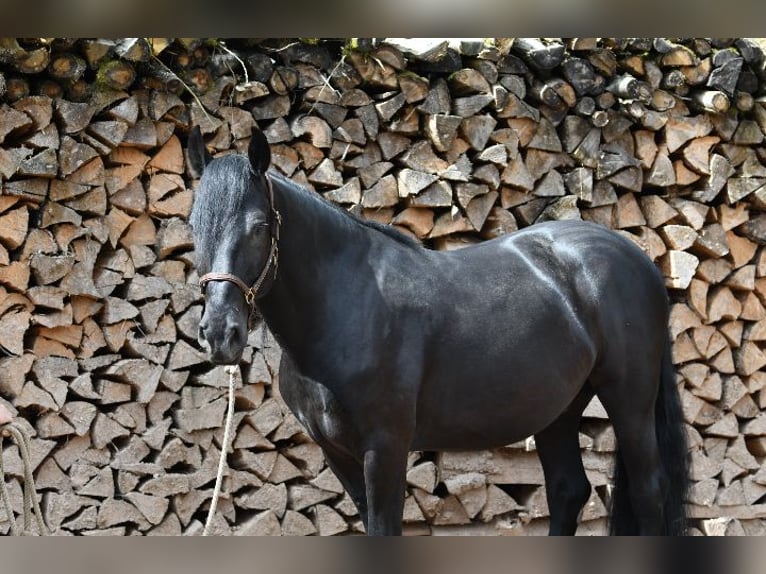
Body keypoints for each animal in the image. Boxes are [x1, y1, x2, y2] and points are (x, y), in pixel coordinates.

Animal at [189, 128, 692, 536]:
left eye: (258, 227)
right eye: (193, 225)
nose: (219, 333)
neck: (345, 307)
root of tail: (637, 258)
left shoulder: (385, 448)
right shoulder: (337, 452)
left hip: (629, 400)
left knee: (649, 491)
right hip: (559, 409)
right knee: (569, 490)